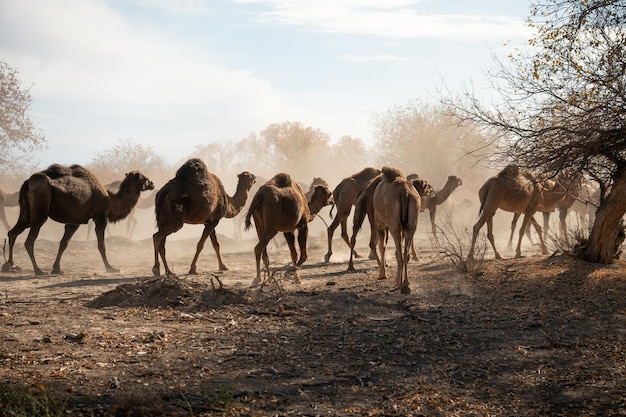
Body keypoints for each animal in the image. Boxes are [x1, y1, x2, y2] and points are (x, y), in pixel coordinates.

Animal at [1, 164, 153, 274]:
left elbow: (64, 243)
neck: (110, 198)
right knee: (29, 241)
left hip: (26, 214)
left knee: (13, 232)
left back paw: (9, 264)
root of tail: (27, 183)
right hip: (40, 211)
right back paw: (38, 270)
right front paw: (111, 268)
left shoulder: (74, 221)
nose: (152, 183)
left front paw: (57, 269)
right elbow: (101, 245)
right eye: (144, 178)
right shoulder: (100, 217)